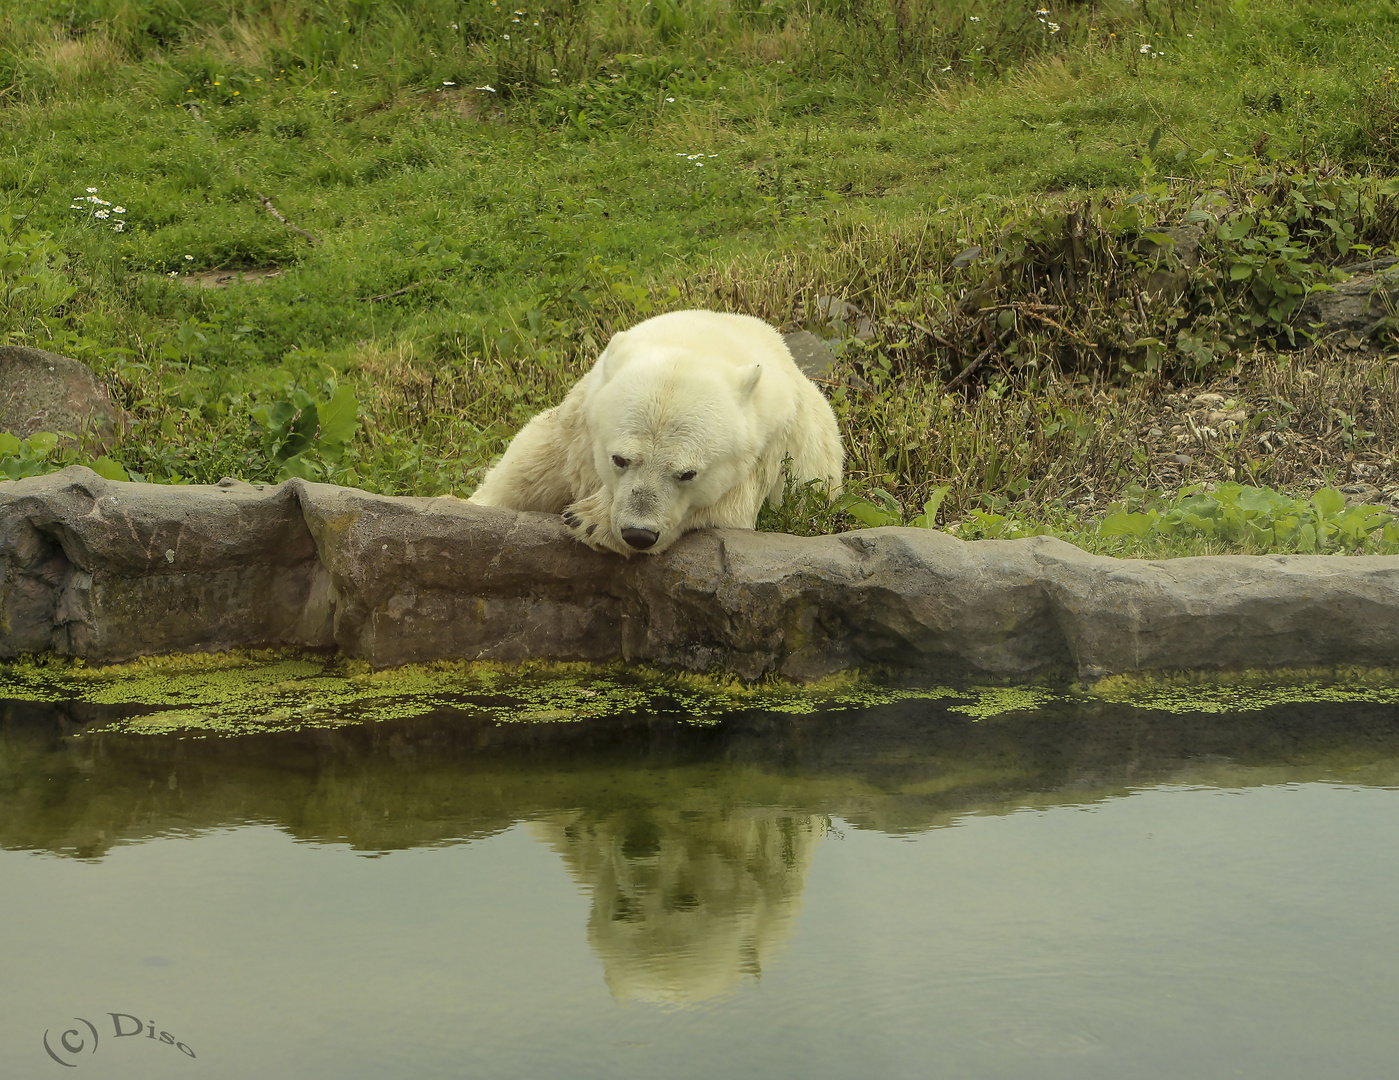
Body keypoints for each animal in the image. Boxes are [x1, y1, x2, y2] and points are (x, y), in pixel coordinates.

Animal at [467, 307, 839, 553]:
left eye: (688, 474)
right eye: (619, 459)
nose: (639, 534)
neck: (699, 340)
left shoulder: (764, 453)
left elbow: (726, 510)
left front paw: (591, 521)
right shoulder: (577, 424)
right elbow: (531, 465)